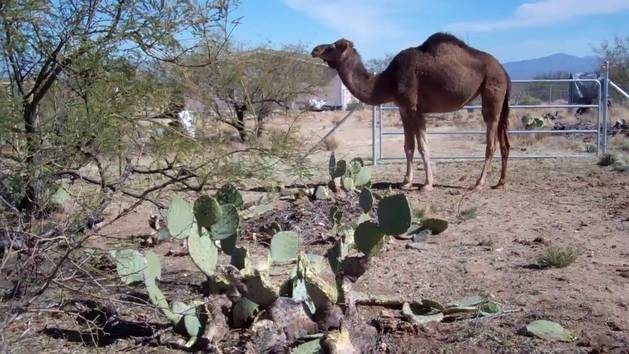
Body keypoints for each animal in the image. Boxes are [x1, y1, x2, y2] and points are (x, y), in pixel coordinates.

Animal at [310, 33, 510, 191]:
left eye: (333, 45)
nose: (315, 49)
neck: (388, 80)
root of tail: (503, 71)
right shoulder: (403, 108)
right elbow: (408, 146)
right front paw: (406, 182)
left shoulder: (414, 107)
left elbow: (423, 146)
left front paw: (427, 184)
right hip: (499, 98)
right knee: (505, 143)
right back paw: (500, 182)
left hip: (492, 90)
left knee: (491, 141)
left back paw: (479, 183)